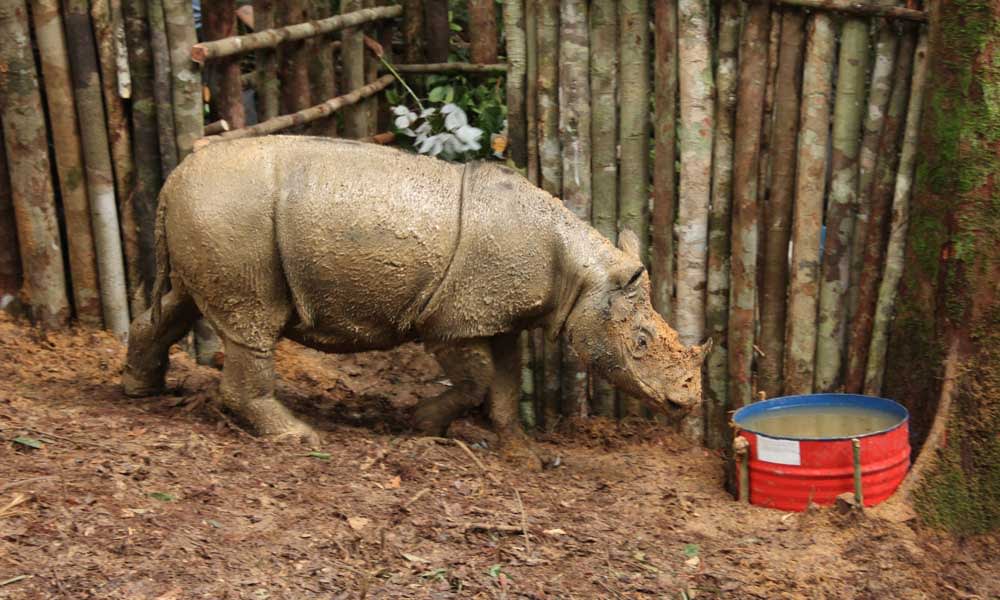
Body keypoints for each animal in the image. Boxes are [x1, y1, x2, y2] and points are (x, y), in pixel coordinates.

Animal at [122, 136, 709, 468]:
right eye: (640, 341)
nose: (689, 401)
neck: (584, 275)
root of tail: (173, 179)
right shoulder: (451, 321)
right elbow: (476, 381)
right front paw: (421, 425)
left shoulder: (499, 317)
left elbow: (503, 384)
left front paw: (524, 456)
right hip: (232, 214)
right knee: (251, 325)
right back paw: (298, 436)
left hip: (213, 215)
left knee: (178, 305)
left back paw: (140, 390)